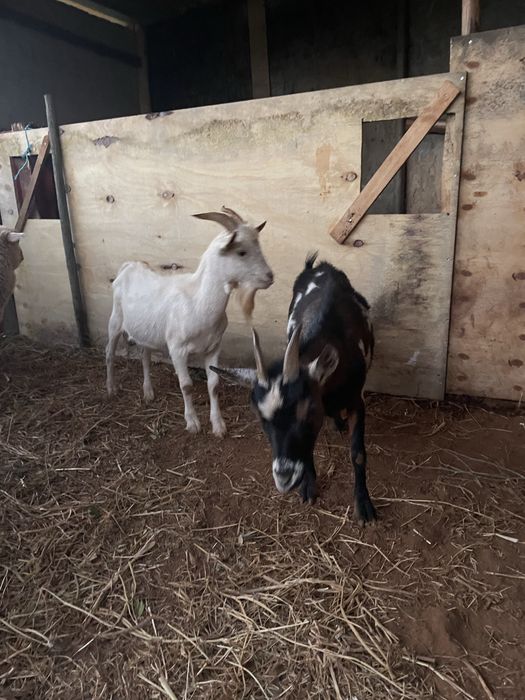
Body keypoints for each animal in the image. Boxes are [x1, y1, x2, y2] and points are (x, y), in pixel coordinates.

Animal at [106, 208, 274, 437]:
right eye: (241, 252)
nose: (270, 277)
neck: (199, 302)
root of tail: (129, 265)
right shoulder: (177, 349)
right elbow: (186, 385)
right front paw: (192, 423)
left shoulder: (214, 347)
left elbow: (214, 385)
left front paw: (218, 425)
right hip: (115, 321)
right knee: (109, 353)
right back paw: (111, 388)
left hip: (146, 332)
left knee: (145, 357)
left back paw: (148, 392)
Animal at [212, 253, 376, 524]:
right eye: (260, 418)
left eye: (308, 410)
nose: (284, 477)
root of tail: (320, 267)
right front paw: (308, 487)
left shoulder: (356, 402)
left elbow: (358, 453)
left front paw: (363, 506)